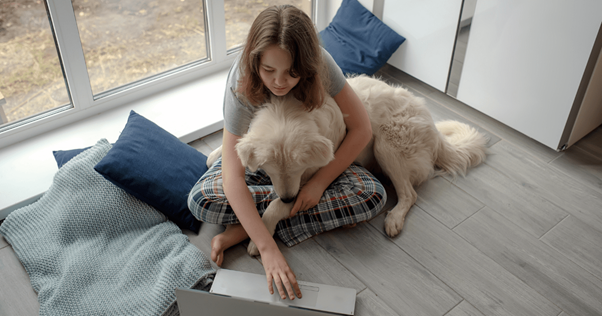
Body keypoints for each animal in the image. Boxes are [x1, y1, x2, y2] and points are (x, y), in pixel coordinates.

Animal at [207, 75, 488, 256]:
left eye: (298, 170)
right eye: (270, 171)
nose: (288, 198)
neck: (287, 112)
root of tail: (433, 127)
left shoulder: (311, 180)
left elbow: (273, 207)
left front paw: (261, 239)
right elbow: (234, 147)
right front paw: (215, 153)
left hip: (386, 144)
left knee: (410, 194)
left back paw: (394, 219)